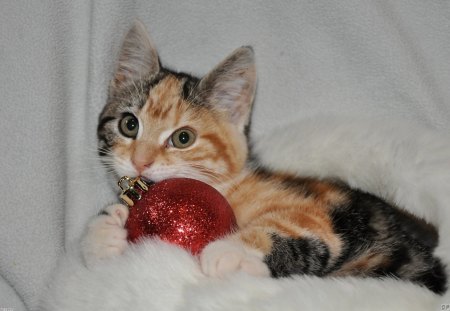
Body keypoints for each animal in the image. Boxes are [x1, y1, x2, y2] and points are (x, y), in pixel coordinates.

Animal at [81, 21, 446, 294]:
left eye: (183, 138)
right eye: (129, 125)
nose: (141, 162)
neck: (229, 186)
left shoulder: (319, 204)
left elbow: (298, 223)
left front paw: (231, 250)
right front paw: (103, 231)